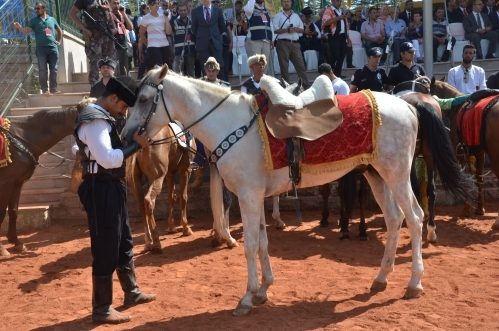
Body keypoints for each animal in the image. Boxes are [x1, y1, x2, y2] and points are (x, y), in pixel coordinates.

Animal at [0, 105, 81, 256]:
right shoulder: (6, 182)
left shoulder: (17, 183)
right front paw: (2, 248)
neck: (21, 139)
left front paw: (17, 242)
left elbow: (13, 211)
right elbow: (2, 212)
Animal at [126, 124, 194, 254]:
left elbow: (171, 197)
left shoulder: (170, 172)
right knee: (149, 201)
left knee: (141, 204)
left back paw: (148, 242)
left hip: (136, 180)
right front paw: (186, 227)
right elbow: (183, 197)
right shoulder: (185, 170)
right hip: (157, 177)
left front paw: (172, 227)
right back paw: (156, 242)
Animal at [430, 77, 499, 228]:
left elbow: (466, 177)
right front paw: (479, 208)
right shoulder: (479, 152)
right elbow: (478, 178)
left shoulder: (461, 152)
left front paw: (466, 209)